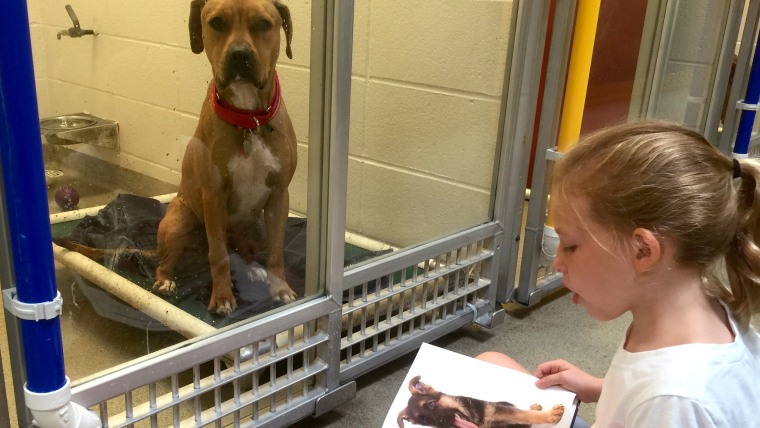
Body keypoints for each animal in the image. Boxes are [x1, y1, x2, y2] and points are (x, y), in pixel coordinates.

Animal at [151, 0, 296, 314]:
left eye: (263, 24)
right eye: (217, 22)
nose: (239, 53)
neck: (249, 120)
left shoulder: (279, 196)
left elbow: (277, 252)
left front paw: (280, 289)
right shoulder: (213, 196)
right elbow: (218, 255)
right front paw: (222, 297)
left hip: (258, 227)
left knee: (246, 251)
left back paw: (253, 270)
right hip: (177, 223)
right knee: (166, 262)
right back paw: (165, 281)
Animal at [398, 376, 564, 428]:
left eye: (431, 405)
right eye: (424, 421)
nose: (441, 422)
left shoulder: (499, 411)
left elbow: (524, 415)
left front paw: (551, 416)